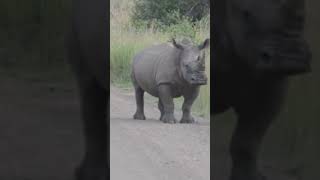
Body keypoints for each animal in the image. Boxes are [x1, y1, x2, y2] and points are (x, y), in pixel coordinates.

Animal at [214, 0, 312, 180]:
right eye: (246, 14)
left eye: (302, 18)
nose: (292, 59)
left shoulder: (270, 87)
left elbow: (247, 142)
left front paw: (249, 177)